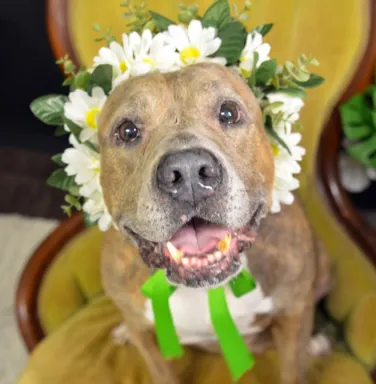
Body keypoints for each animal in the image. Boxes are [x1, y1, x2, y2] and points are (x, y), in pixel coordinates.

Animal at [98, 63, 330, 384]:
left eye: (229, 113)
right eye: (128, 130)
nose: (188, 172)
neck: (205, 288)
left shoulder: (292, 315)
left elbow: (292, 370)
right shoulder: (146, 339)